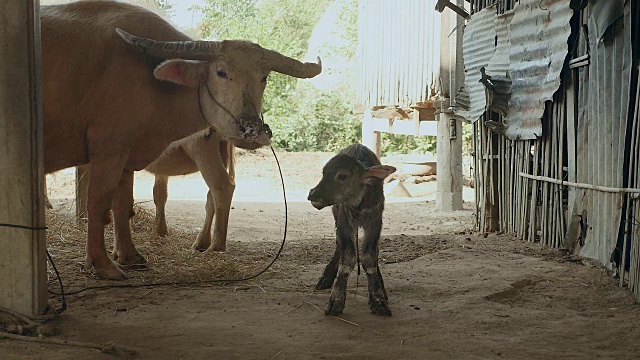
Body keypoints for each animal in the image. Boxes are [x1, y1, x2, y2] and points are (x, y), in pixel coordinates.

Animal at [41, 1, 320, 280]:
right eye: (221, 72)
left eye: (264, 77)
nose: (251, 130)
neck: (152, 81)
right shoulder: (111, 149)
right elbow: (106, 203)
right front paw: (111, 261)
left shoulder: (121, 152)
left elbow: (117, 204)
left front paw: (116, 258)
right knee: (217, 190)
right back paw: (210, 244)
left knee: (219, 188)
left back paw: (211, 245)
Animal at [308, 143, 398, 316]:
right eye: (324, 173)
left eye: (342, 176)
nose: (312, 194)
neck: (359, 205)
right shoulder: (344, 221)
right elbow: (347, 257)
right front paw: (336, 301)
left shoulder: (375, 222)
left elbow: (370, 256)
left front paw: (378, 299)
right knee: (339, 246)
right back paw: (325, 278)